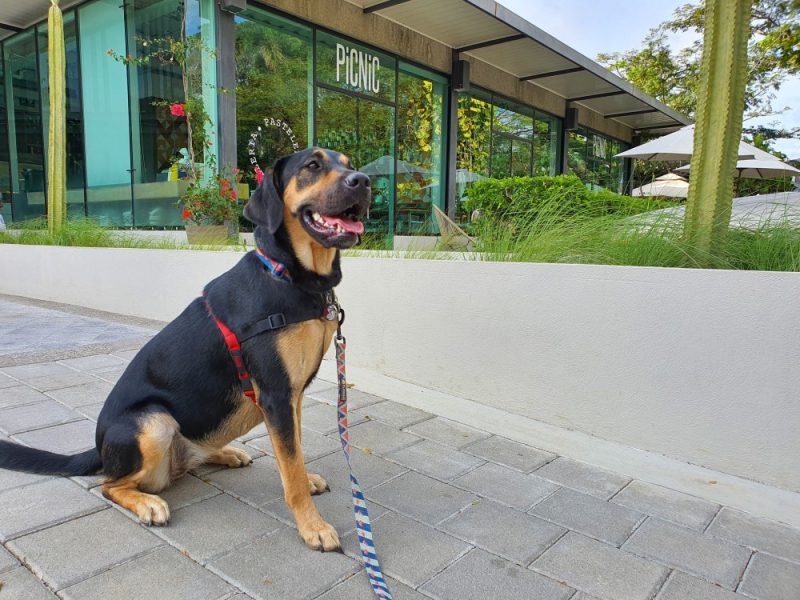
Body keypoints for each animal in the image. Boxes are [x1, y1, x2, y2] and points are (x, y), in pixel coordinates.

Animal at [0, 148, 370, 552]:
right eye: (312, 166)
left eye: (348, 165)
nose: (364, 181)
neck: (288, 276)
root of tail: (99, 450)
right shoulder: (276, 395)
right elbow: (291, 469)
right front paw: (312, 526)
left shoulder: (293, 395)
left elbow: (296, 455)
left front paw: (308, 480)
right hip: (154, 422)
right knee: (109, 485)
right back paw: (147, 502)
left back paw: (224, 453)